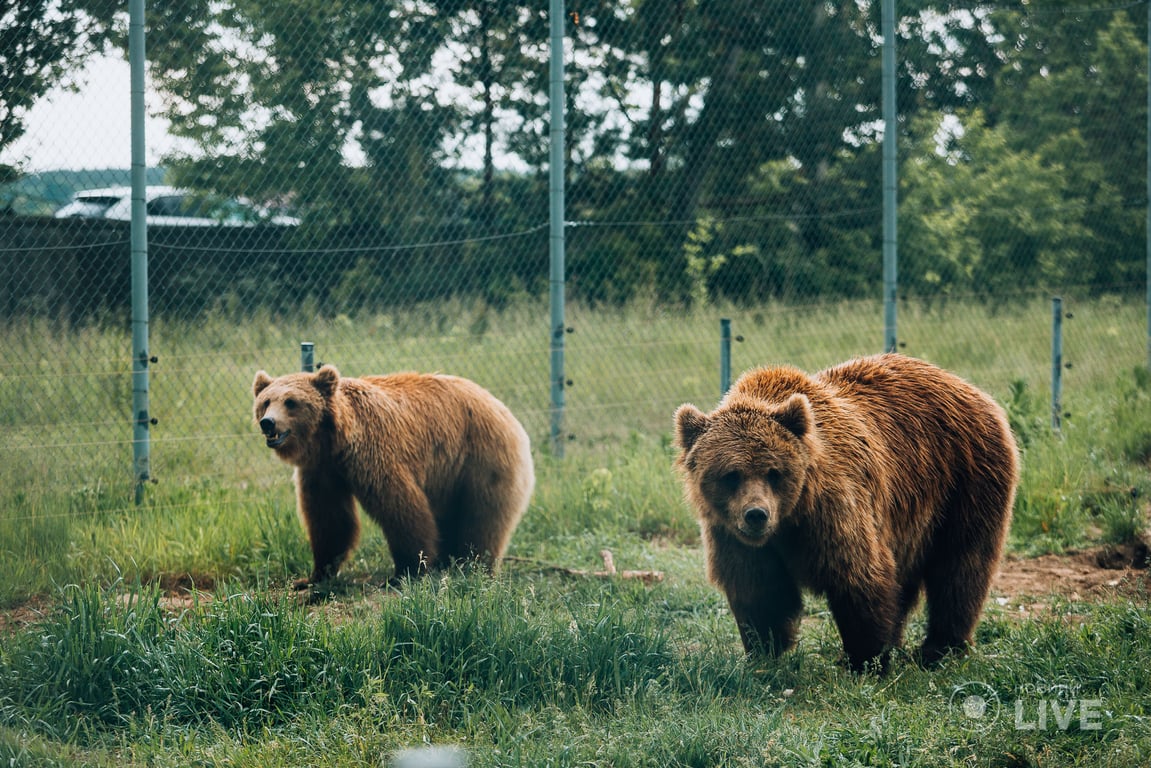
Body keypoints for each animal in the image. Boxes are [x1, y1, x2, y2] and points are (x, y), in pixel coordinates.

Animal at [252, 366, 534, 589]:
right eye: (266, 401)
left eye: (291, 402)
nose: (268, 423)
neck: (335, 442)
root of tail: (501, 407)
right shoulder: (322, 470)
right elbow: (330, 520)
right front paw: (313, 576)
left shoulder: (374, 451)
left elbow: (401, 508)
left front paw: (405, 572)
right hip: (450, 476)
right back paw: (448, 562)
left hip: (481, 459)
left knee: (483, 518)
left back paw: (473, 565)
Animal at [672, 354, 1017, 672]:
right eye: (731, 475)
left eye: (774, 472)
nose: (756, 514)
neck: (791, 516)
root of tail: (972, 389)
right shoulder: (734, 536)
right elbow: (759, 589)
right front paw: (763, 653)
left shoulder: (835, 508)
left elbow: (858, 576)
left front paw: (865, 660)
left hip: (965, 479)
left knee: (960, 567)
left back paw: (939, 649)